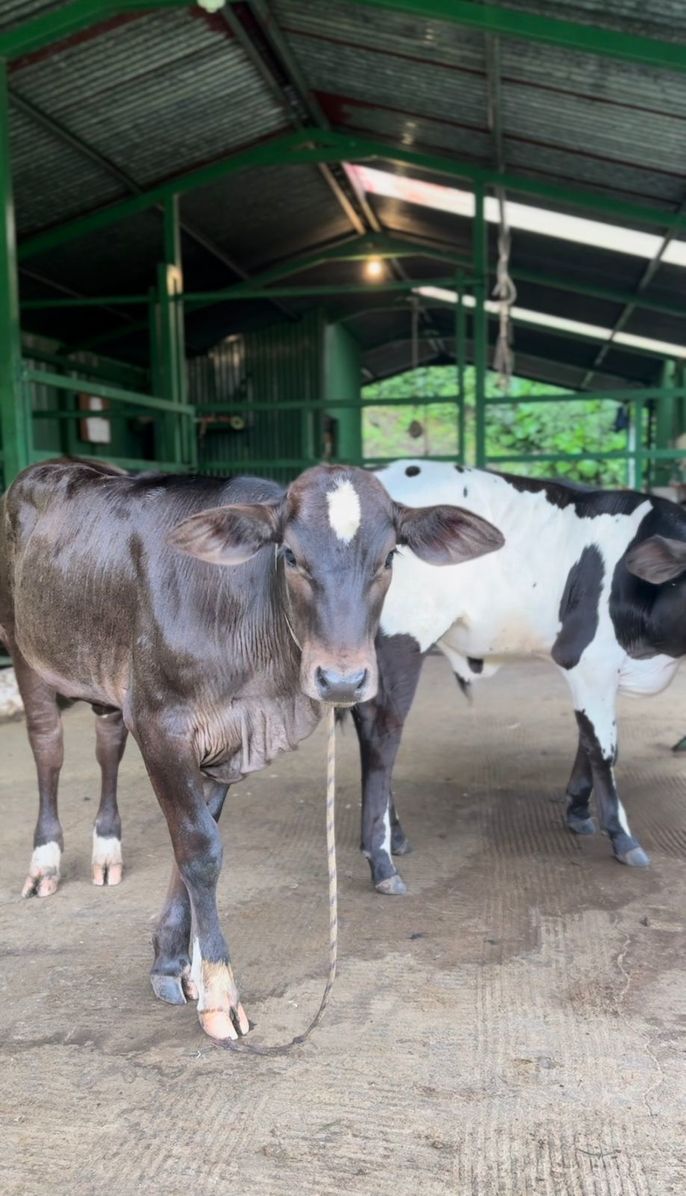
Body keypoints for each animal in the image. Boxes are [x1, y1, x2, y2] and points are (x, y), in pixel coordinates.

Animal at [353, 461, 686, 894]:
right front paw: (622, 836)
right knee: (382, 735)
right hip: (400, 640)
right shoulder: (587, 659)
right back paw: (382, 861)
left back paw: (395, 837)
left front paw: (578, 810)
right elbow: (604, 749)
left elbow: (587, 738)